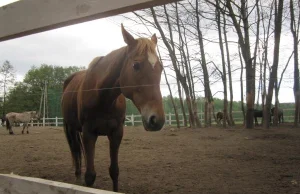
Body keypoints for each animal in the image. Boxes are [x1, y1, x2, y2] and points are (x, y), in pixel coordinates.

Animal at [60, 24, 164, 192]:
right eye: (136, 65)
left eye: (160, 68)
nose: (156, 119)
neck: (103, 98)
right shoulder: (89, 134)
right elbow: (90, 176)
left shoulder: (116, 133)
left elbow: (114, 171)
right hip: (71, 128)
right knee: (75, 152)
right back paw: (77, 177)